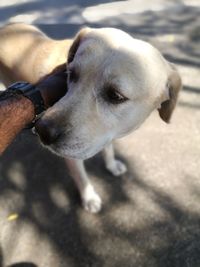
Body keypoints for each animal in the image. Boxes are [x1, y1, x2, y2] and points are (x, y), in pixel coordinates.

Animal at [0, 24, 181, 215]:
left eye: (115, 96)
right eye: (71, 73)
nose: (43, 131)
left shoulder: (106, 135)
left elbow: (108, 149)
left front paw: (111, 165)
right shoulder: (73, 157)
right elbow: (81, 177)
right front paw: (89, 198)